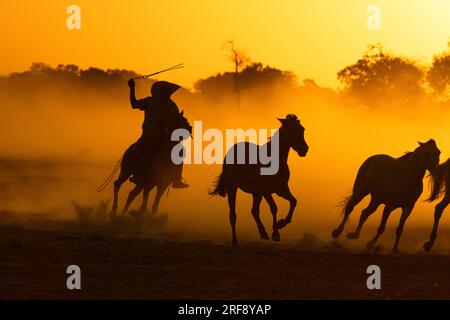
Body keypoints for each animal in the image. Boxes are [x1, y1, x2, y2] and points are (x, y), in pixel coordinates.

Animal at [210, 114, 310, 246]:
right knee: (233, 215)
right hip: (233, 188)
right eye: (292, 130)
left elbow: (294, 201)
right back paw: (235, 241)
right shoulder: (266, 191)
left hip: (256, 193)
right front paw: (276, 233)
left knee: (254, 211)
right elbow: (274, 208)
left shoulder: (281, 189)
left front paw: (281, 223)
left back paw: (263, 233)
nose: (304, 149)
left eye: (302, 129)